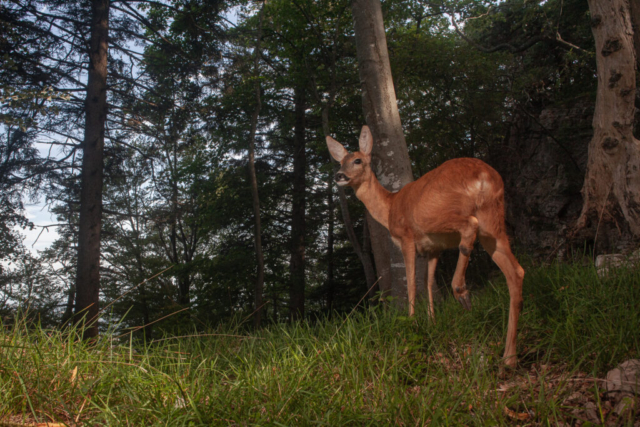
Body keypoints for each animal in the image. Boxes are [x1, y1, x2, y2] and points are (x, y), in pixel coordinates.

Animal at [324, 125, 524, 366]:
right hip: (493, 223)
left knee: (470, 225)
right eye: (340, 162)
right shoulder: (433, 248)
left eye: (357, 160)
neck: (389, 208)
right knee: (516, 271)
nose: (339, 176)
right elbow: (429, 282)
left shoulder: (407, 238)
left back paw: (461, 292)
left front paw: (411, 322)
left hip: (433, 214)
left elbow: (411, 282)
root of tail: (484, 175)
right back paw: (509, 357)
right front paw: (432, 321)